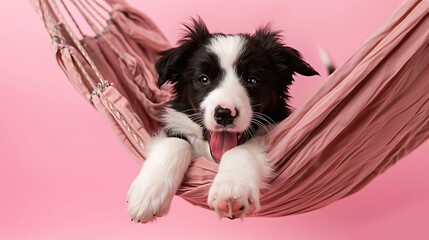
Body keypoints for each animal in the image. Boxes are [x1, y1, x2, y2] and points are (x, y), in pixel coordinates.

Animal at [125, 17, 316, 222]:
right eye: (204, 79)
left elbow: (240, 150)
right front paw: (147, 193)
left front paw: (231, 190)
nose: (224, 114)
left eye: (252, 80)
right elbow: (176, 143)